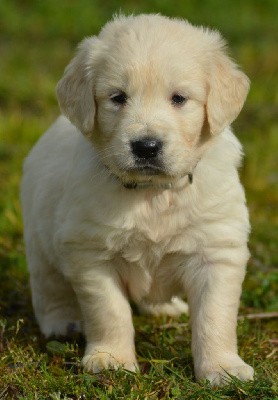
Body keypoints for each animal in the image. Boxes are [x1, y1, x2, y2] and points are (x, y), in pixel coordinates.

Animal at [21, 14, 254, 386]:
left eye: (179, 98)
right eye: (118, 97)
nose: (146, 146)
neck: (152, 193)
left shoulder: (216, 250)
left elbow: (214, 318)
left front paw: (222, 368)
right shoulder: (91, 255)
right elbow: (110, 312)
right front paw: (111, 359)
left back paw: (167, 308)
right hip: (40, 245)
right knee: (49, 289)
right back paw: (63, 323)